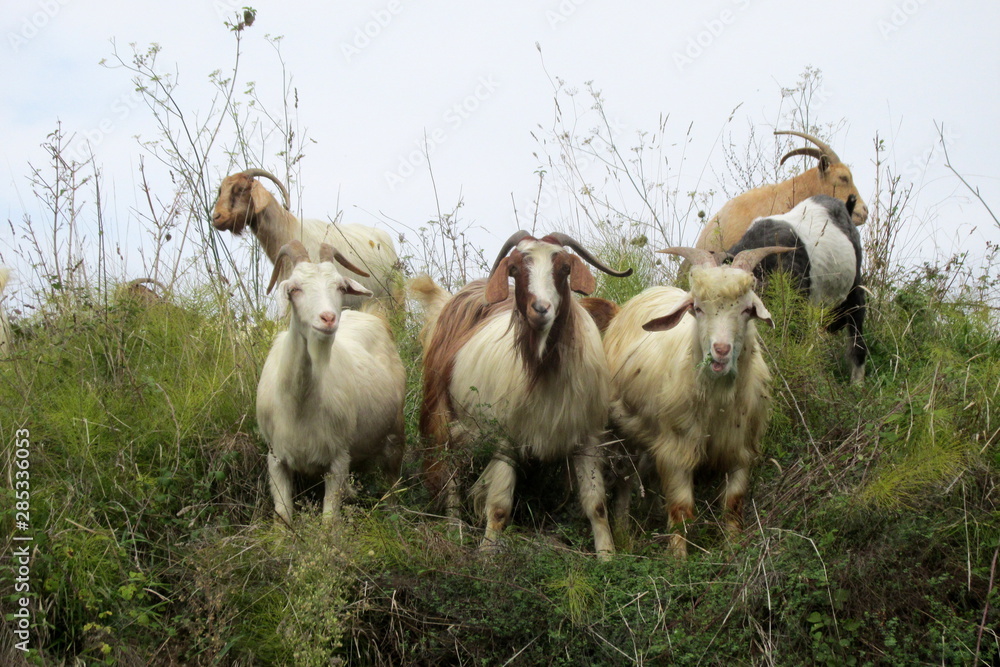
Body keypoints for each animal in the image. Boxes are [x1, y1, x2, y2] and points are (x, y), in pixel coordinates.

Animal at [256, 240, 406, 526]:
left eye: (339, 287)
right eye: (295, 288)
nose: (327, 318)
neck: (299, 404)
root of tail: (372, 315)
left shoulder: (337, 459)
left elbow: (328, 522)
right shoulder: (275, 458)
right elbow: (283, 516)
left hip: (394, 434)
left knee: (393, 487)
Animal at [411, 231, 633, 558]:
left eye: (564, 268)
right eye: (514, 269)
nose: (540, 310)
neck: (544, 372)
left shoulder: (586, 435)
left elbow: (596, 505)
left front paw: (607, 556)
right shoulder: (506, 437)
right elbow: (499, 507)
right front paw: (487, 554)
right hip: (444, 412)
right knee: (449, 471)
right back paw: (454, 528)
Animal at [603, 246, 788, 557]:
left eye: (746, 310)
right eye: (698, 308)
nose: (721, 350)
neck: (719, 403)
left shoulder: (741, 451)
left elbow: (733, 504)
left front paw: (733, 548)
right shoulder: (676, 451)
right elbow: (681, 509)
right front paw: (679, 559)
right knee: (625, 480)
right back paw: (622, 529)